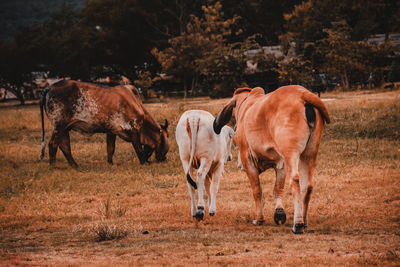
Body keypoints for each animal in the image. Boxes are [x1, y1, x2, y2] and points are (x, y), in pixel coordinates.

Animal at [38, 79, 168, 168]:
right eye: (167, 136)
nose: (164, 158)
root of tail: (49, 87)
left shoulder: (112, 131)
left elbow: (111, 148)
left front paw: (110, 163)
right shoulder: (133, 129)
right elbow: (138, 149)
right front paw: (144, 163)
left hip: (65, 128)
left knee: (65, 146)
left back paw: (75, 165)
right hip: (59, 126)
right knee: (53, 144)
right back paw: (53, 166)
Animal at [214, 86, 330, 234]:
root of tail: (302, 94)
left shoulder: (248, 160)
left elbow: (257, 190)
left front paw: (259, 219)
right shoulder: (281, 164)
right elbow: (278, 189)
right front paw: (279, 213)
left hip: (291, 152)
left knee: (295, 180)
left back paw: (297, 224)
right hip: (310, 153)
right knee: (307, 186)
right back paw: (304, 222)